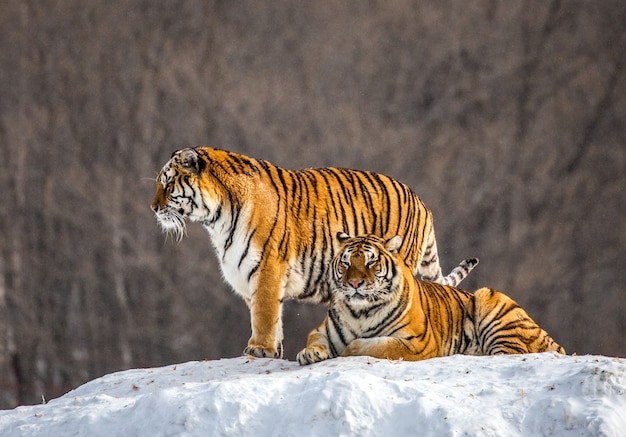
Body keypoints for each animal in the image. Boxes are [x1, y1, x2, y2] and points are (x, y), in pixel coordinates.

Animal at [151, 146, 478, 358]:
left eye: (167, 182)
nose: (153, 208)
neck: (216, 219)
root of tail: (422, 202)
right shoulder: (244, 273)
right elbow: (267, 315)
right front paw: (274, 350)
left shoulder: (267, 266)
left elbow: (264, 313)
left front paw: (259, 349)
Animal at [294, 232, 564, 364]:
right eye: (346, 263)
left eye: (371, 262)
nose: (354, 284)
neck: (360, 311)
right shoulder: (322, 331)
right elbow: (314, 340)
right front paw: (309, 354)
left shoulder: (418, 342)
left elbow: (380, 345)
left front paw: (351, 349)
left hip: (490, 300)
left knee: (510, 352)